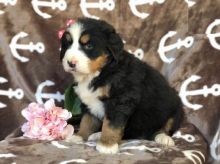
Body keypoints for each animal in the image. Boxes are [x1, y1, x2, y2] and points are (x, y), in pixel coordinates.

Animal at [59, 17, 184, 154]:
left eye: (89, 46)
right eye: (67, 45)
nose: (70, 63)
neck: (101, 71)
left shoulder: (120, 100)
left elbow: (111, 125)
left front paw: (107, 145)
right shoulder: (88, 104)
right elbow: (87, 121)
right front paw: (80, 136)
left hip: (176, 109)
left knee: (165, 127)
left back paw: (163, 138)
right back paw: (97, 134)